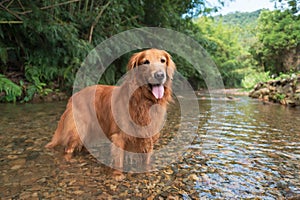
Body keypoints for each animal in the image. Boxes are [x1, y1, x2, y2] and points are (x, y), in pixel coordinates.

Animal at [45, 48, 176, 180]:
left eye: (162, 60)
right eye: (146, 62)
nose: (159, 75)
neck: (143, 101)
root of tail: (73, 96)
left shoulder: (148, 133)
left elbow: (146, 159)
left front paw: (147, 171)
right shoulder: (119, 136)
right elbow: (119, 160)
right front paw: (118, 175)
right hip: (78, 130)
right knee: (68, 149)